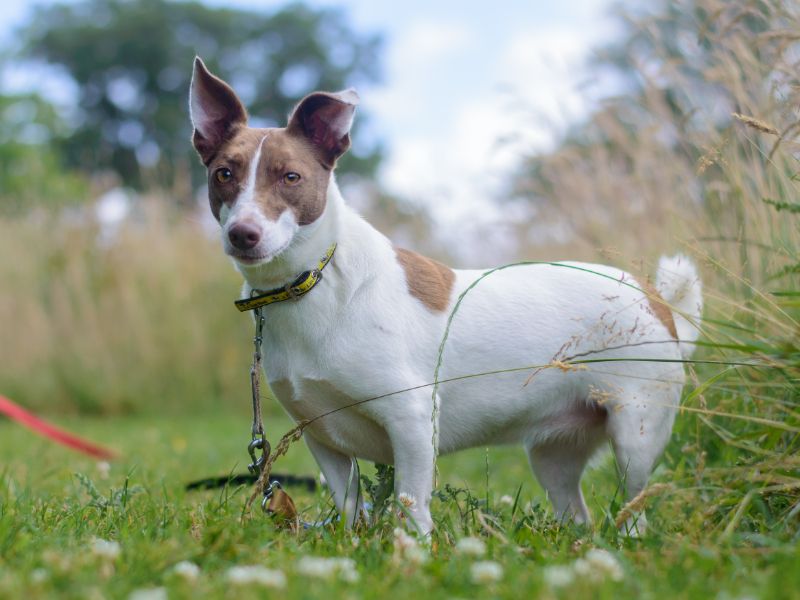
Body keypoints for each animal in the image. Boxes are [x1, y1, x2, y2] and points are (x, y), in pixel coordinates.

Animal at [188, 56, 700, 536]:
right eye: (224, 174)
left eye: (291, 177)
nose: (242, 234)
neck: (313, 279)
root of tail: (653, 298)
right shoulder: (324, 439)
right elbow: (350, 509)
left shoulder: (411, 420)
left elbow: (411, 504)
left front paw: (409, 551)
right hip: (553, 455)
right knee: (577, 513)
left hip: (636, 435)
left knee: (635, 507)